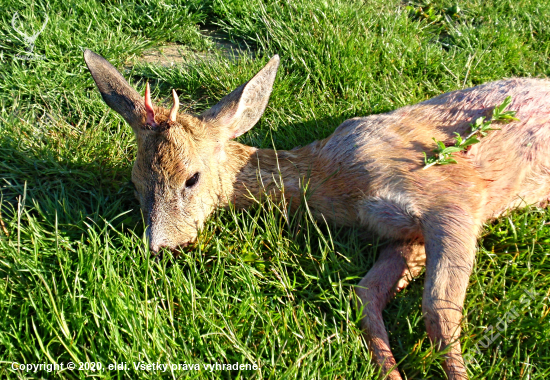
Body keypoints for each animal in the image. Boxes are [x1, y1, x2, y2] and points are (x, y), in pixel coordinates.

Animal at [83, 49, 550, 378]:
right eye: (136, 182)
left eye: (192, 178)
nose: (160, 246)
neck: (337, 184)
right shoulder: (402, 232)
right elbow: (366, 293)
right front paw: (389, 372)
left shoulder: (454, 195)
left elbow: (439, 308)